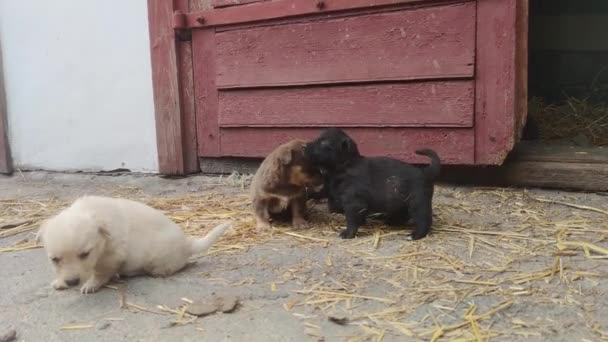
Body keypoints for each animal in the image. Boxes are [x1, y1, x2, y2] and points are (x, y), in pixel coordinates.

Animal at [36, 195, 230, 294]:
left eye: (85, 254)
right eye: (54, 259)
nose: (71, 282)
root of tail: (187, 243)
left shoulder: (111, 256)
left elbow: (99, 273)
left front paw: (91, 284)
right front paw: (60, 282)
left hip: (157, 261)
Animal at [306, 129, 440, 240]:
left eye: (324, 144)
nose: (305, 146)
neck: (345, 165)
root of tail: (425, 172)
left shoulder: (353, 203)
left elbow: (351, 220)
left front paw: (348, 234)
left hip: (418, 203)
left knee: (423, 220)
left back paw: (415, 235)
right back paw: (390, 221)